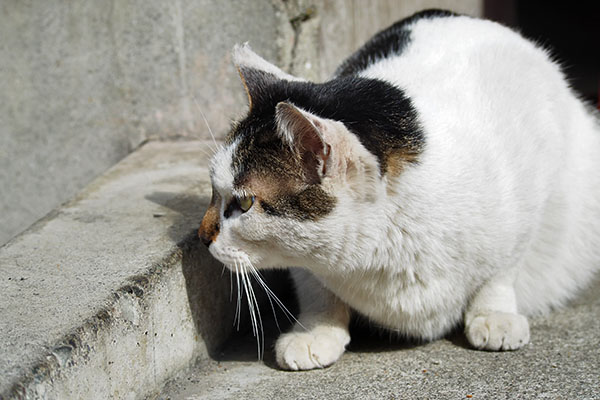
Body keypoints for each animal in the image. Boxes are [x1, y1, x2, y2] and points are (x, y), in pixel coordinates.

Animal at [198, 9, 600, 370]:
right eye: (214, 190)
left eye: (245, 203)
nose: (202, 236)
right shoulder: (311, 270)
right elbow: (315, 286)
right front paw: (315, 331)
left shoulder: (529, 192)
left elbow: (503, 269)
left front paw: (494, 315)